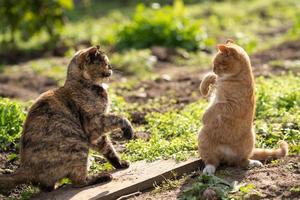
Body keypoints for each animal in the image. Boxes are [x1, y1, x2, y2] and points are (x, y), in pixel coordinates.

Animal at [0, 46, 134, 193]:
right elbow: (120, 118)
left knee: (47, 187)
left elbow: (108, 148)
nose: (111, 68)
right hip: (79, 146)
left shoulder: (96, 137)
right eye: (105, 62)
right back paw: (101, 177)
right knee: (78, 181)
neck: (82, 84)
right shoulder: (95, 123)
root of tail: (24, 167)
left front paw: (120, 163)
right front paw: (128, 130)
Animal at [198, 39, 288, 174]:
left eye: (218, 63)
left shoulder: (234, 106)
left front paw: (205, 116)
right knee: (213, 161)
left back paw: (253, 163)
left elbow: (218, 106)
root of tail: (226, 155)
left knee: (241, 161)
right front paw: (205, 88)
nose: (214, 69)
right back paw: (209, 169)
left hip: (250, 140)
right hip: (203, 138)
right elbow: (208, 77)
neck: (231, 79)